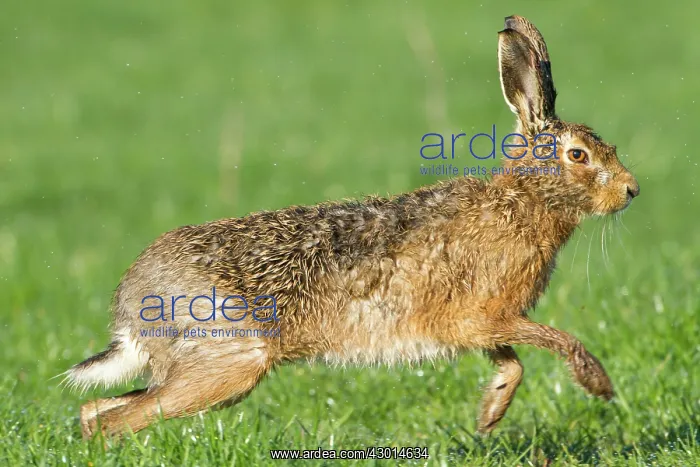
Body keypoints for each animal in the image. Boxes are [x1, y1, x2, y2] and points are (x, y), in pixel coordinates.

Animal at [64, 15, 639, 439]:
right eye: (579, 155)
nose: (631, 191)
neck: (524, 201)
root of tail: (131, 306)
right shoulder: (485, 315)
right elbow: (554, 340)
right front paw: (598, 386)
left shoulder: (483, 325)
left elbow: (512, 362)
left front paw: (489, 415)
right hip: (228, 362)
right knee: (117, 420)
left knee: (97, 411)